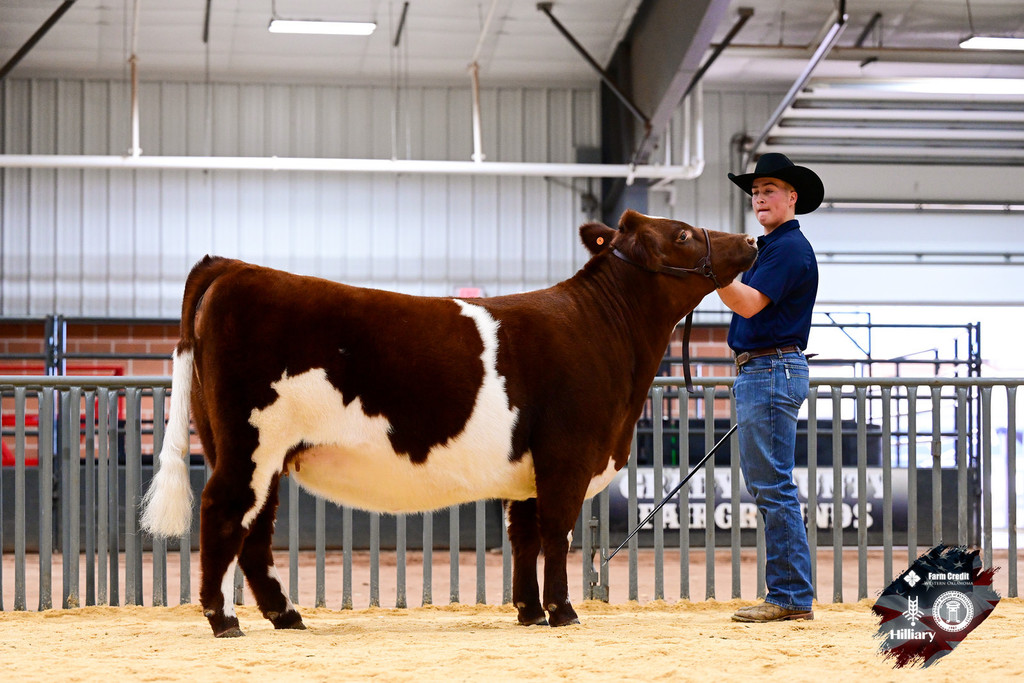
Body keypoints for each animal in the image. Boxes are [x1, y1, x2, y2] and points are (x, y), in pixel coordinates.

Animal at [141, 209, 758, 637]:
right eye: (683, 234)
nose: (751, 240)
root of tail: (232, 266)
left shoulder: (527, 469)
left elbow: (524, 535)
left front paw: (529, 612)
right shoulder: (567, 455)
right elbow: (557, 532)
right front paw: (562, 611)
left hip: (262, 454)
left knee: (255, 532)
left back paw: (285, 614)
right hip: (250, 443)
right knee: (224, 514)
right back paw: (224, 619)